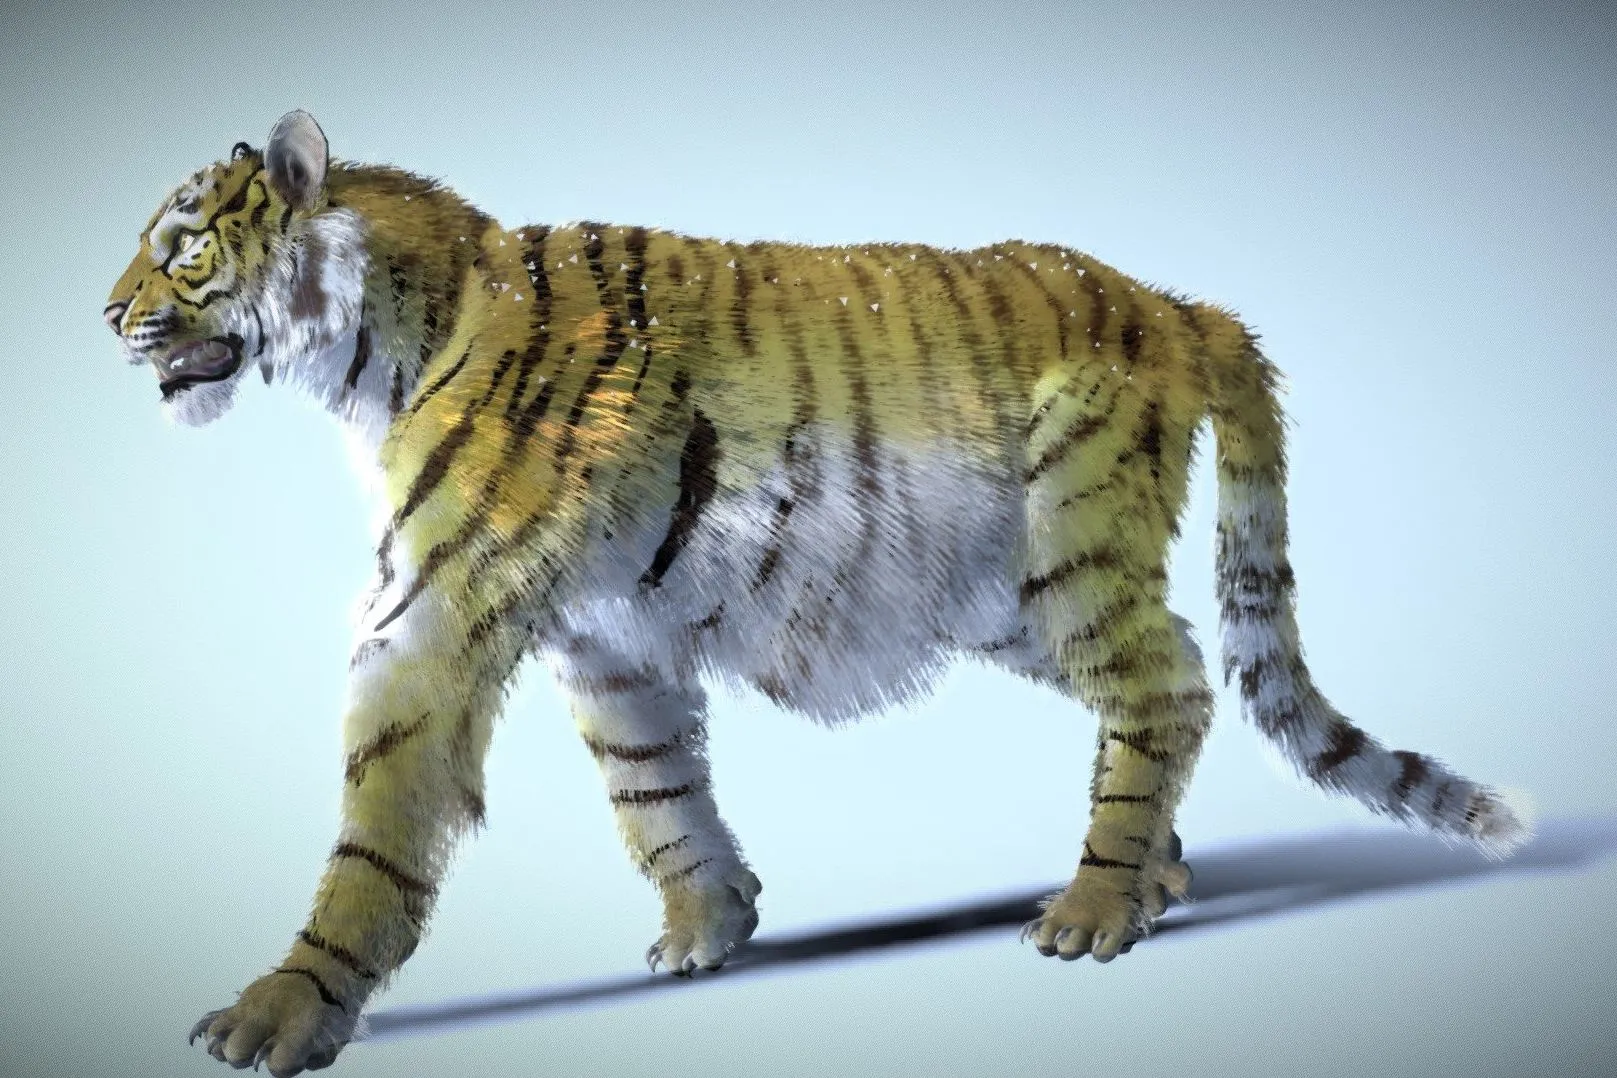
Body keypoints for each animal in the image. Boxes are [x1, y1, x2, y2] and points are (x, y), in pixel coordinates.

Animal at [105, 110, 1529, 1076]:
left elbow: (374, 831)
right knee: (1155, 684)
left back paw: (1095, 906)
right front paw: (710, 925)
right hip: (1010, 594)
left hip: (1073, 542)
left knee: (1170, 682)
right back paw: (1156, 874)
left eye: (183, 249)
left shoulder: (432, 620)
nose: (109, 314)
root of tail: (1180, 305)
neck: (377, 342)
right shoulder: (609, 641)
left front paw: (280, 1011)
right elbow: (654, 796)